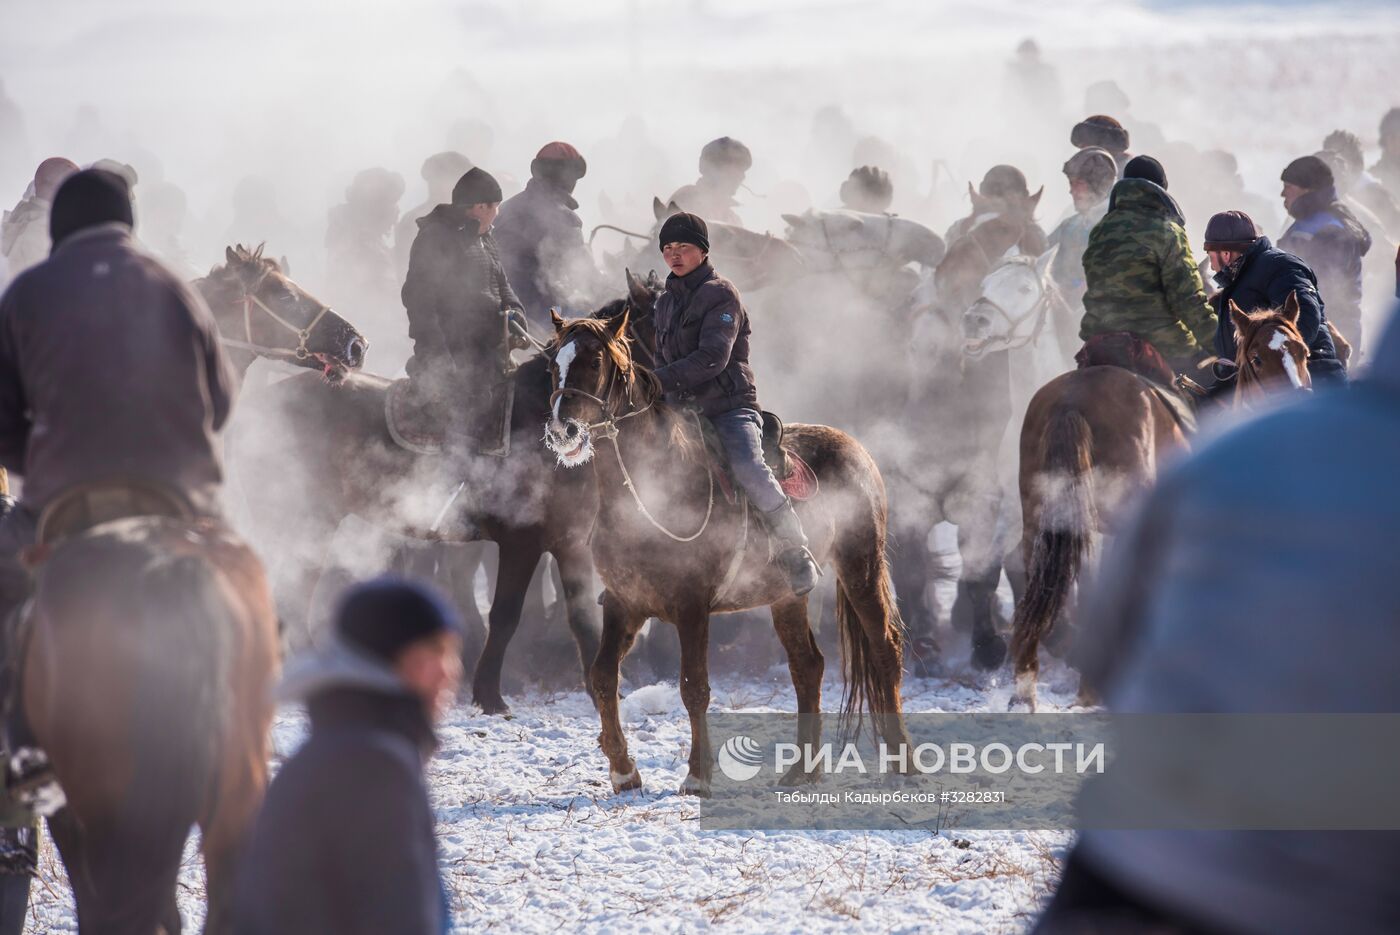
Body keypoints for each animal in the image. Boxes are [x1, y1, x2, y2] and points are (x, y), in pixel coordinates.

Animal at [540, 312, 912, 789]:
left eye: (594, 360)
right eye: (555, 363)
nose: (562, 431)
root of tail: (857, 449)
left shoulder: (691, 607)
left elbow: (693, 686)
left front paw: (698, 775)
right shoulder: (625, 603)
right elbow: (603, 677)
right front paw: (624, 771)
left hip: (860, 566)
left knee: (885, 650)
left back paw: (904, 761)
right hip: (787, 597)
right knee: (807, 666)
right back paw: (802, 770)